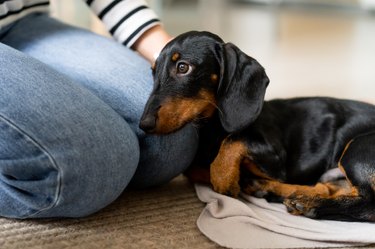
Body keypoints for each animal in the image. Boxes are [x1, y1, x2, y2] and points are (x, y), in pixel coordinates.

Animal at [140, 30, 375, 222]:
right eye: (153, 71)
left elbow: (234, 140)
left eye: (183, 67)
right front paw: (238, 179)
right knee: (327, 187)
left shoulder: (275, 162)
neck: (211, 129)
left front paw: (224, 178)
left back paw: (309, 204)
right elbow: (195, 169)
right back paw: (272, 190)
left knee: (367, 204)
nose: (144, 124)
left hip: (356, 148)